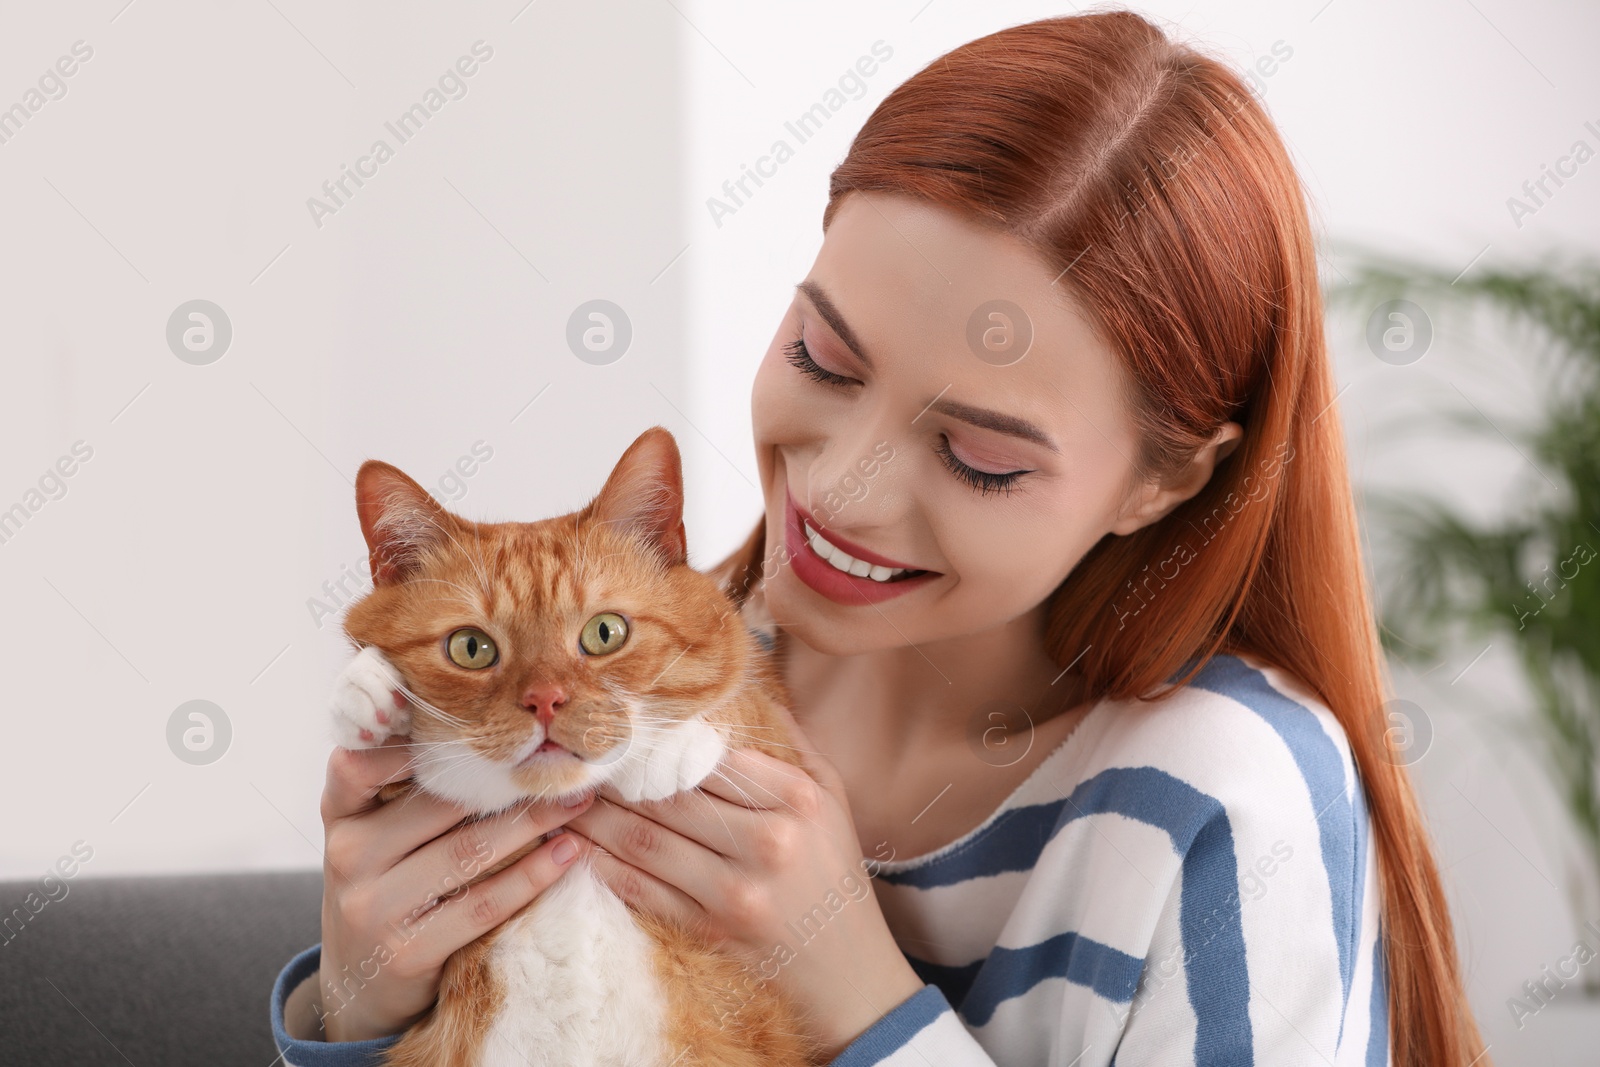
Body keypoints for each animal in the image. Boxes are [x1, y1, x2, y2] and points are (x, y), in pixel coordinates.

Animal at [329, 428, 819, 1067]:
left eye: (605, 633)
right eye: (469, 647)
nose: (545, 700)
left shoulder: (790, 743)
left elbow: (747, 698)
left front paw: (669, 744)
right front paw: (370, 692)